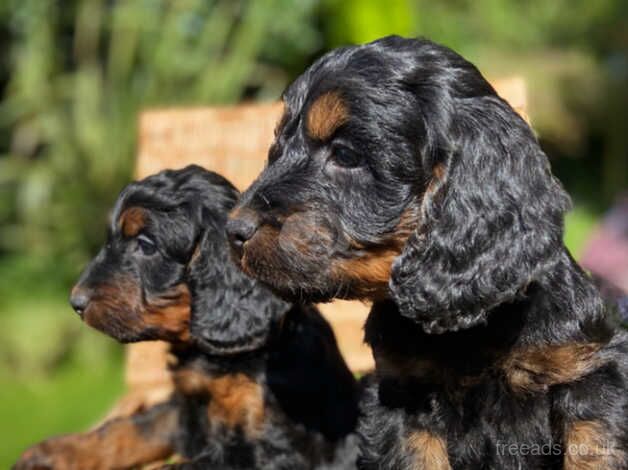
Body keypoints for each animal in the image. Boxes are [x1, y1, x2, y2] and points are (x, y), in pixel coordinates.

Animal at [14, 166, 360, 470]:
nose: (76, 301)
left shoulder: (276, 447)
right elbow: (128, 429)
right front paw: (52, 452)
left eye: (145, 245)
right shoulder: (184, 408)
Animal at [227, 37, 628, 470]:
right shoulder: (402, 398)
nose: (234, 231)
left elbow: (593, 452)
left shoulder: (589, 375)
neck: (471, 327)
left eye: (346, 156)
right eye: (277, 149)